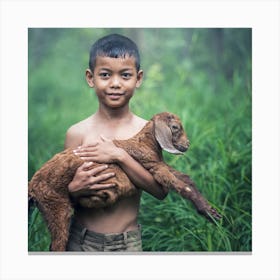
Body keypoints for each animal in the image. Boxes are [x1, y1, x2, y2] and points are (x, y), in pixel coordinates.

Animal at [28, 111, 221, 252]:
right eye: (175, 127)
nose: (187, 144)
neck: (146, 144)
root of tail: (31, 187)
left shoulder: (159, 164)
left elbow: (187, 179)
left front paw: (211, 212)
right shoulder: (154, 166)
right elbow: (181, 186)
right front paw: (208, 212)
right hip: (55, 206)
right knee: (57, 244)